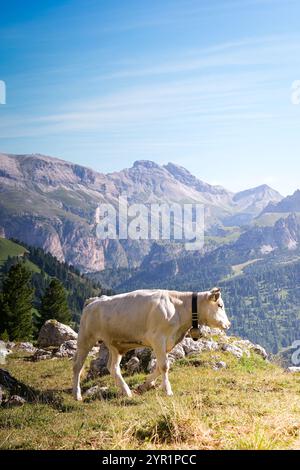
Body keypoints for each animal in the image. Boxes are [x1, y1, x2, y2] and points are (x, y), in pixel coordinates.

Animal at [72, 286, 230, 400]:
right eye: (220, 305)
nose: (228, 324)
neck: (178, 308)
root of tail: (92, 302)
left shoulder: (166, 343)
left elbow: (159, 367)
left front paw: (145, 385)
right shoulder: (158, 339)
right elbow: (164, 366)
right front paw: (168, 390)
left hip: (114, 345)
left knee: (113, 367)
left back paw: (126, 391)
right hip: (85, 339)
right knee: (77, 366)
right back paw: (77, 395)